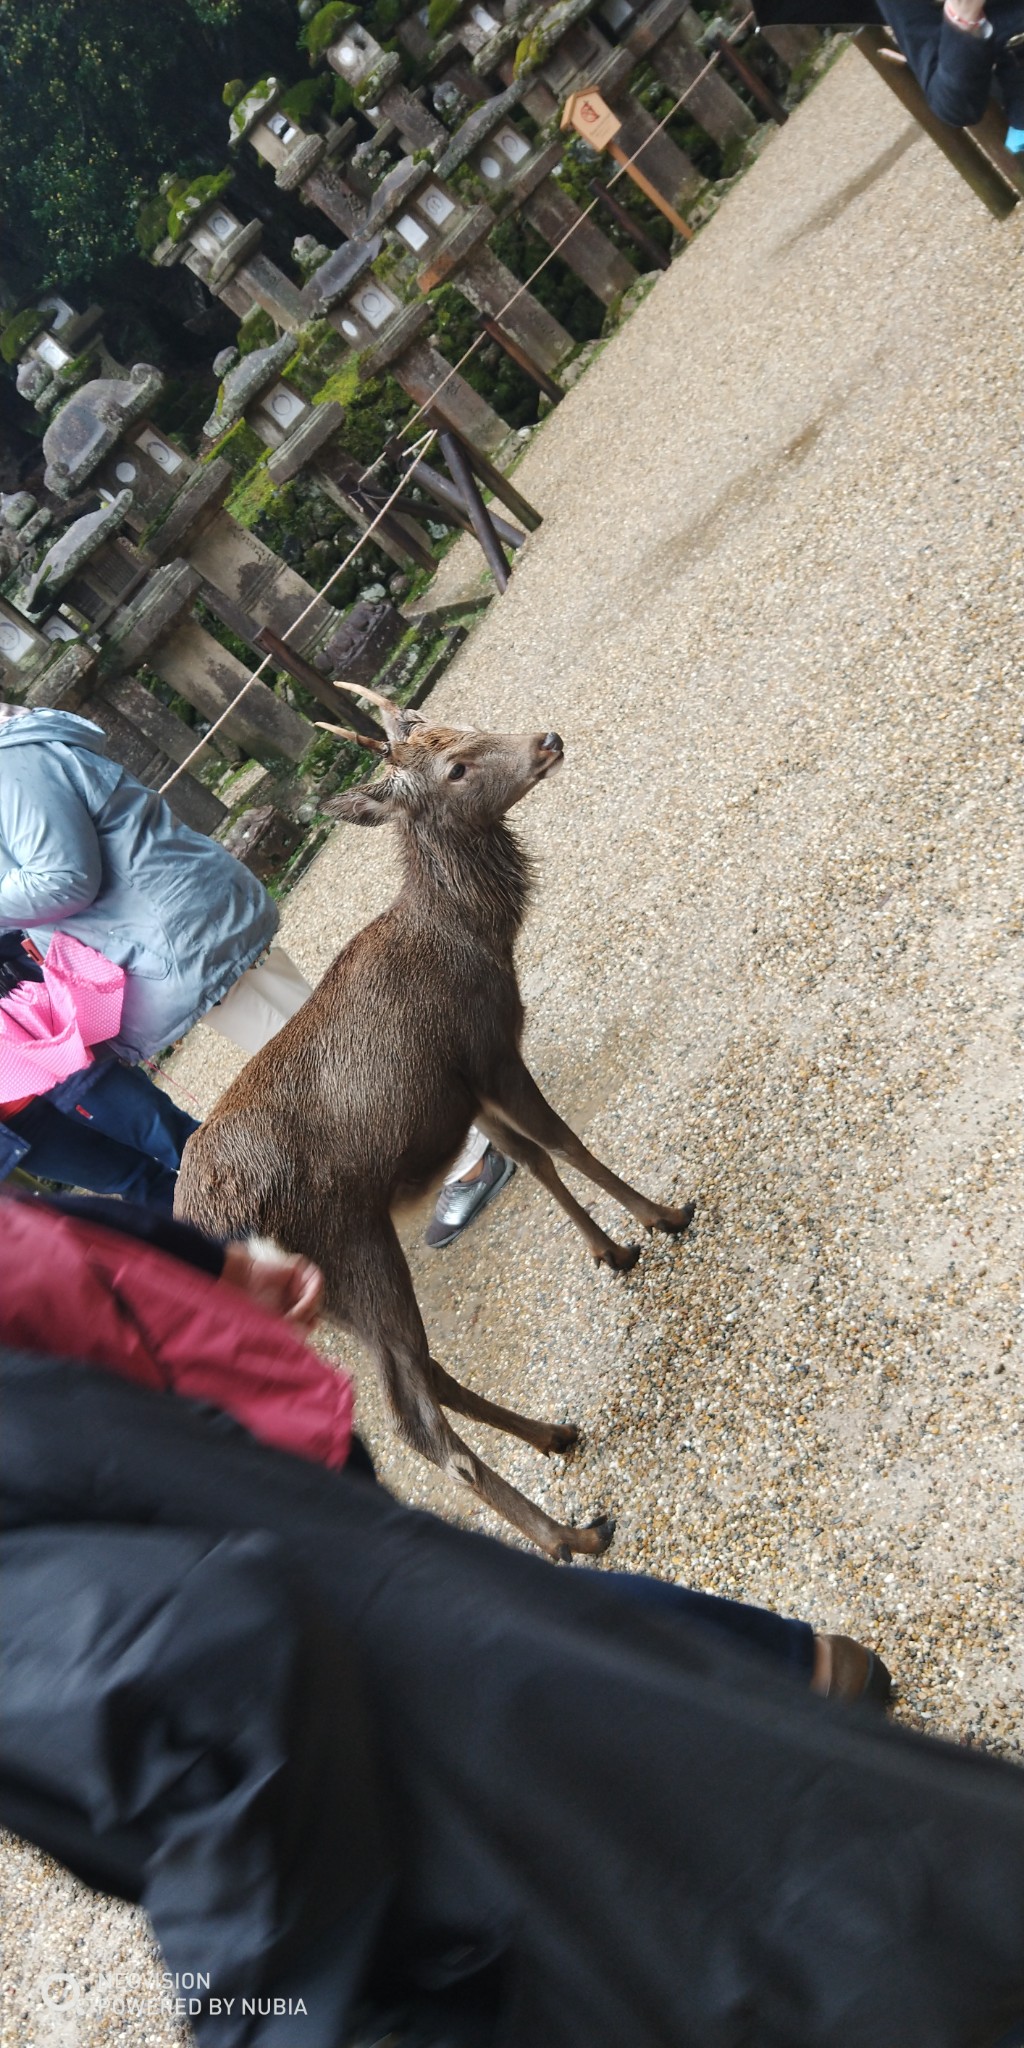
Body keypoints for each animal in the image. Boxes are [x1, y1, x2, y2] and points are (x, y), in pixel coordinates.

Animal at [176, 679, 696, 1556]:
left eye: (467, 723)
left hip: (330, 1295)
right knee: (416, 1424)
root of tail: (207, 1227)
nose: (548, 739)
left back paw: (555, 1435)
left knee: (430, 1374)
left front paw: (613, 1252)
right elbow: (565, 1141)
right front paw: (661, 1216)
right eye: (455, 767)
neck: (480, 940)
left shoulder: (465, 1087)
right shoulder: (487, 1047)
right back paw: (572, 1537)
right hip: (352, 1247)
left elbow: (533, 1157)